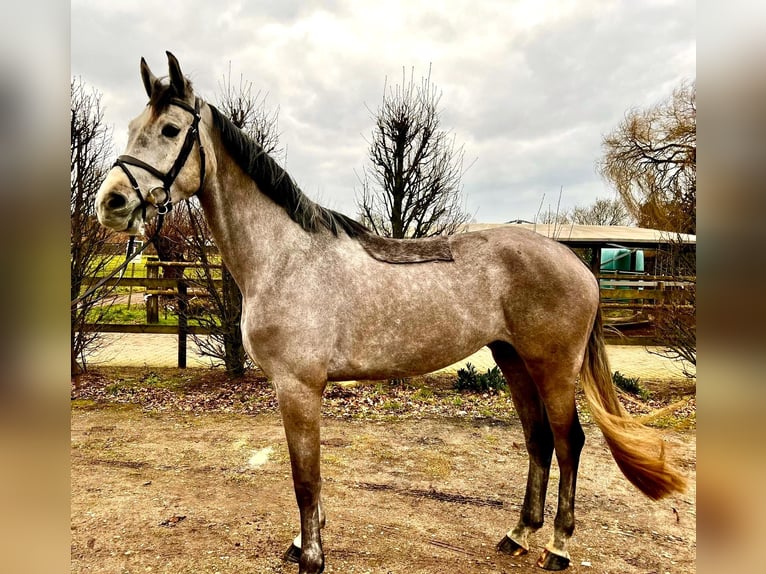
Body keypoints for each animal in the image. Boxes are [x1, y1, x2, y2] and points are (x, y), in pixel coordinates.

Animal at [93, 51, 688, 572]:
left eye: (171, 130)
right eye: (133, 125)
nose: (111, 202)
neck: (285, 255)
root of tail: (575, 262)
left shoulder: (298, 387)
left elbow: (304, 477)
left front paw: (312, 557)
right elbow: (308, 478)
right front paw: (305, 542)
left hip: (554, 368)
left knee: (569, 443)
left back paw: (559, 547)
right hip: (513, 359)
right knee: (538, 440)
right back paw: (519, 535)